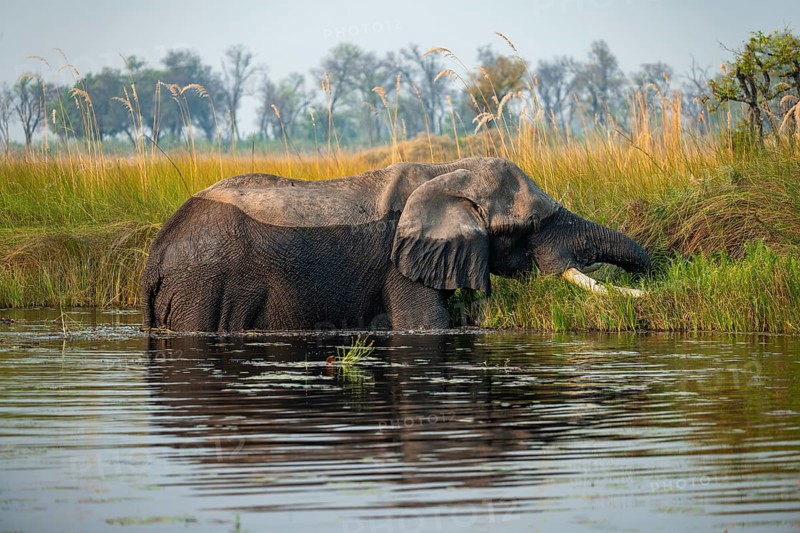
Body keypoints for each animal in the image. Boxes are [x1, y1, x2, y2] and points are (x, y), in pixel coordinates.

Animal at [142, 157, 650, 332]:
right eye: (523, 229)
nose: (657, 276)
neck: (447, 171)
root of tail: (155, 257)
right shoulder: (399, 264)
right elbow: (426, 327)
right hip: (203, 284)